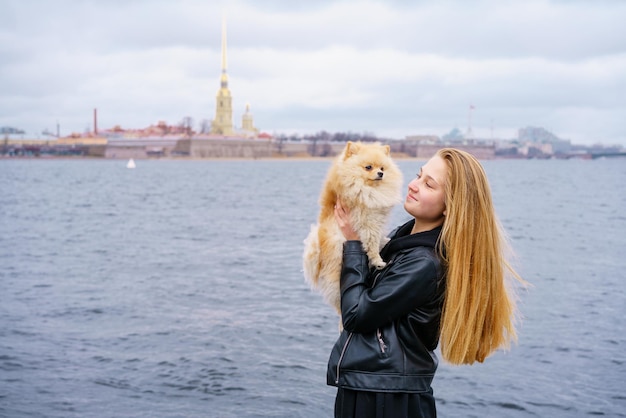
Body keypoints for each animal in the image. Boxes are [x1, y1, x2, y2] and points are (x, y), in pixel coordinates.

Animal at [304, 140, 402, 316]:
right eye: (368, 167)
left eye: (382, 168)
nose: (380, 174)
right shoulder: (367, 222)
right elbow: (372, 244)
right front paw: (378, 261)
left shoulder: (376, 220)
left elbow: (378, 238)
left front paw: (385, 241)